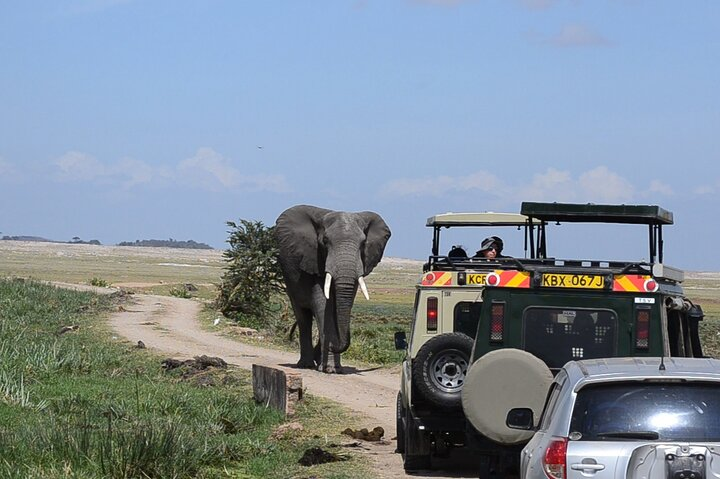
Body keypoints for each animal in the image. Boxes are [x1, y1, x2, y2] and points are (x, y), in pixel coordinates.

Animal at [276, 204, 390, 374]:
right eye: (325, 241)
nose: (334, 346)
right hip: (289, 281)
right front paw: (330, 369)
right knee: (303, 317)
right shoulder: (315, 259)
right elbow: (324, 305)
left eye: (363, 243)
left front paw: (333, 367)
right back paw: (306, 365)